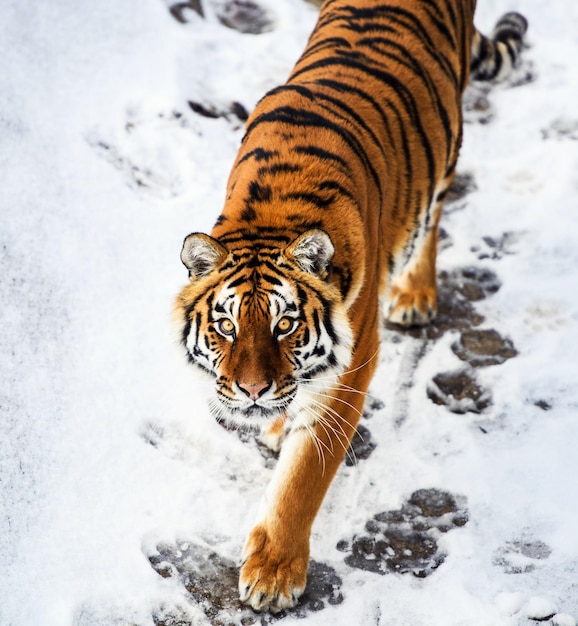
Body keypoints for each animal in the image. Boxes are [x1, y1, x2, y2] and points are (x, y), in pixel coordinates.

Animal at [172, 0, 528, 612]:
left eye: (285, 325)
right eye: (225, 326)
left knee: (433, 215)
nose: (251, 390)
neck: (271, 217)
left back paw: (415, 295)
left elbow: (302, 479)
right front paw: (275, 425)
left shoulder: (354, 363)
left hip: (444, 157)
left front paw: (273, 574)